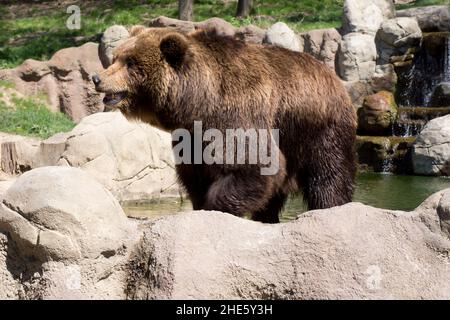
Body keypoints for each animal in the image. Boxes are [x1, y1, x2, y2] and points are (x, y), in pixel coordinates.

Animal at [93, 26, 356, 224]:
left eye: (130, 62)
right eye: (116, 57)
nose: (97, 78)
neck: (200, 102)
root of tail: (333, 77)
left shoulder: (238, 114)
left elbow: (252, 164)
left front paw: (215, 208)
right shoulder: (192, 136)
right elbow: (195, 173)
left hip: (319, 130)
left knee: (328, 176)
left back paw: (330, 208)